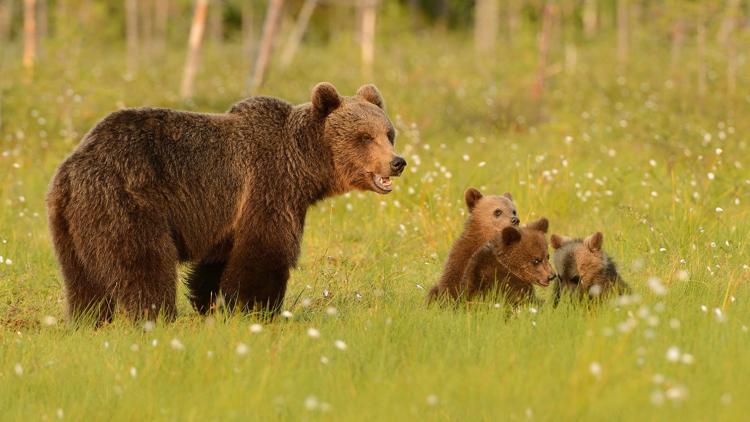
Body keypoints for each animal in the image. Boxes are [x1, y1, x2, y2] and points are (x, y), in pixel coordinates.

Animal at [47, 82, 406, 324]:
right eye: (364, 137)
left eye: (388, 133)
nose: (397, 162)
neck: (305, 168)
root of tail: (73, 167)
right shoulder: (269, 186)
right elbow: (264, 252)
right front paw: (259, 310)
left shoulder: (230, 216)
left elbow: (217, 262)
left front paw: (211, 303)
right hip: (127, 202)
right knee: (144, 264)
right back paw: (156, 318)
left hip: (71, 224)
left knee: (83, 279)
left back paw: (88, 320)